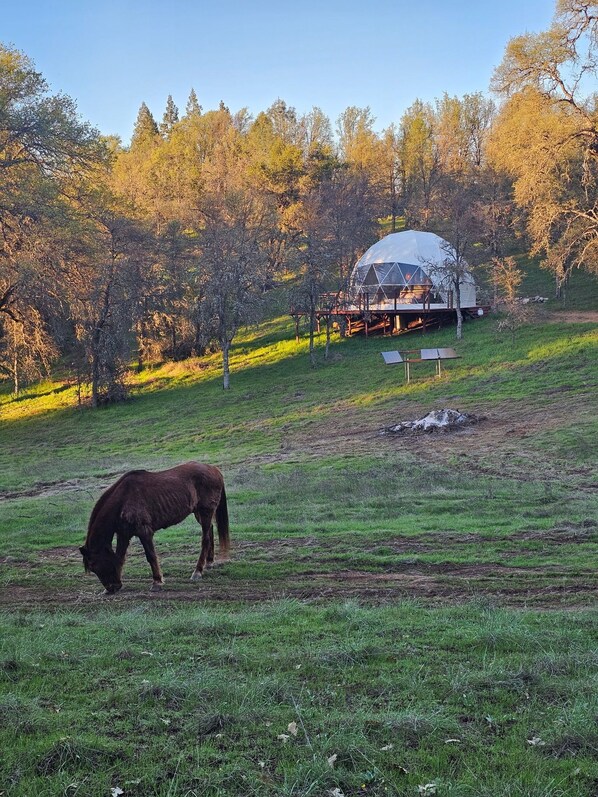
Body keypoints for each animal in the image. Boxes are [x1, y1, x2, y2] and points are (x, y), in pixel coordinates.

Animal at [80, 462, 230, 594]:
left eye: (94, 564)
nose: (112, 588)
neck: (122, 500)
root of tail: (214, 469)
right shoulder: (124, 534)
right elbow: (120, 557)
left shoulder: (144, 532)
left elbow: (151, 556)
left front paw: (157, 582)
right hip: (199, 513)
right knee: (210, 531)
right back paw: (209, 562)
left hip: (205, 511)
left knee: (205, 539)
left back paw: (198, 571)